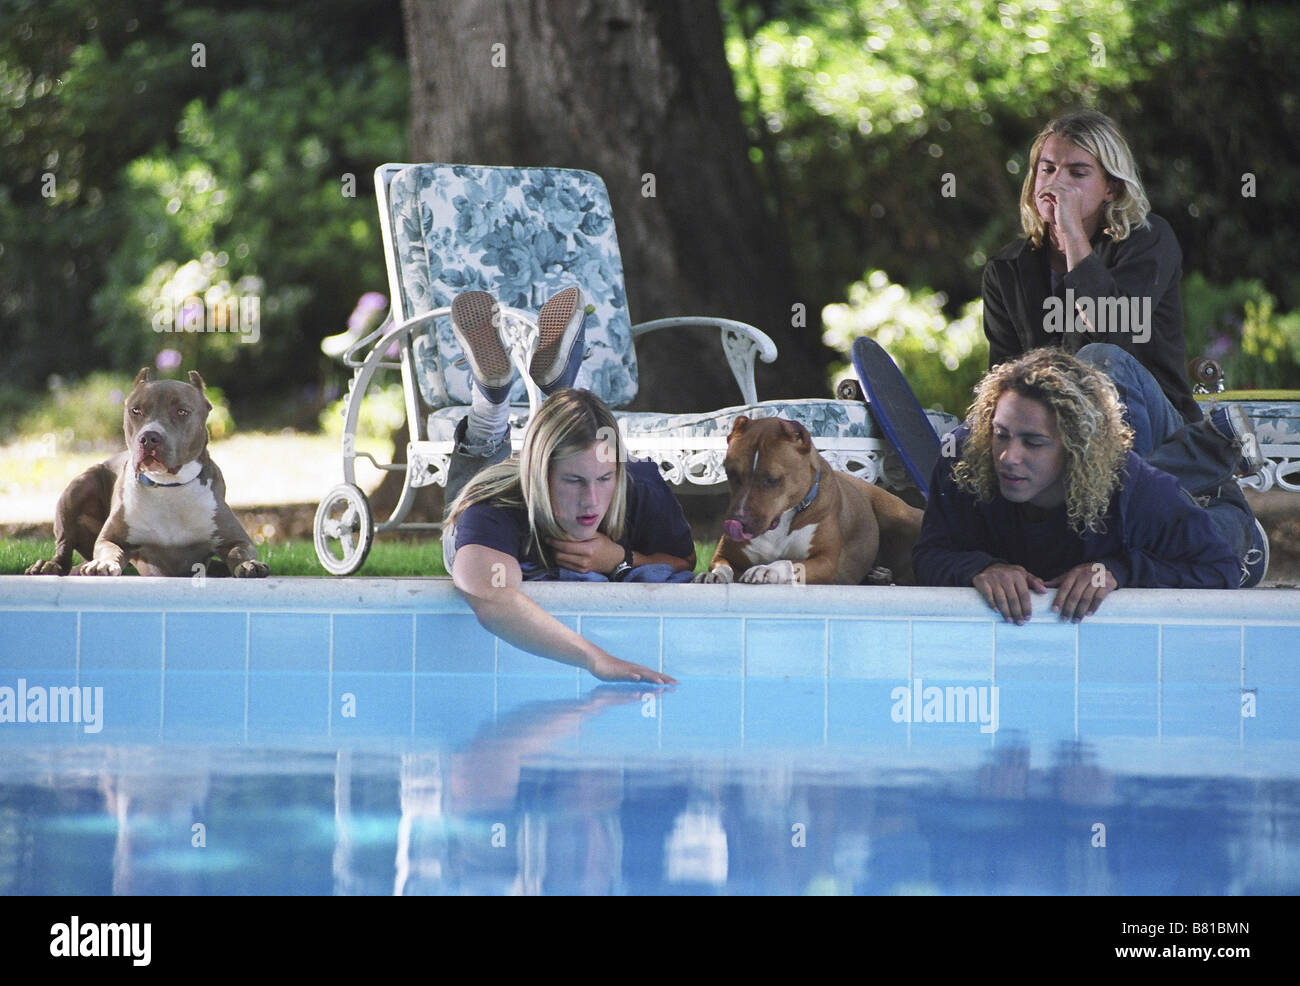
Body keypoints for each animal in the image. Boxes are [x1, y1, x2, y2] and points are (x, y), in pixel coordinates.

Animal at [24, 369, 269, 580]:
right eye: (136, 410)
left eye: (182, 411)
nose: (149, 437)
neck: (168, 487)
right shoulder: (111, 537)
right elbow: (109, 550)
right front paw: (103, 564)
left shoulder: (236, 538)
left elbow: (239, 551)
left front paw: (249, 564)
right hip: (79, 486)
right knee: (64, 547)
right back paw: (49, 566)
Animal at [702, 416, 925, 587]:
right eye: (731, 474)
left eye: (772, 479)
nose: (737, 523)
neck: (783, 519)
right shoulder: (726, 554)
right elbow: (722, 565)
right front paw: (713, 575)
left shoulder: (825, 561)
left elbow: (789, 562)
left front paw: (766, 569)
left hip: (903, 516)